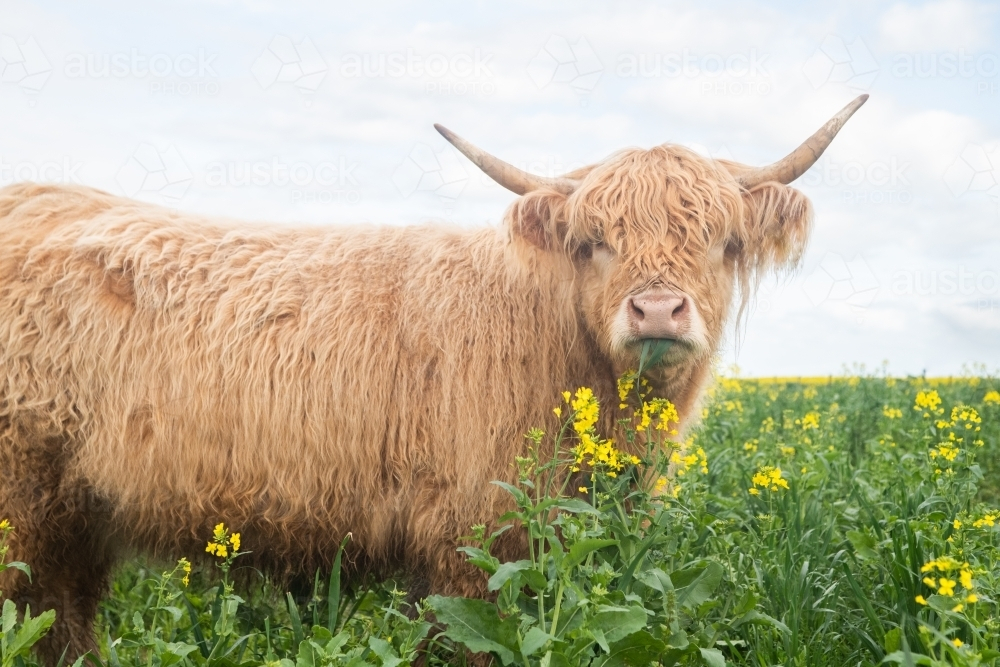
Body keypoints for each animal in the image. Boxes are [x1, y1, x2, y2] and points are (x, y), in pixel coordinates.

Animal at [0, 95, 866, 663]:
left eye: (722, 240)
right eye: (594, 241)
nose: (657, 309)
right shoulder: (472, 544)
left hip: (76, 518)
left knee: (64, 623)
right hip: (26, 507)